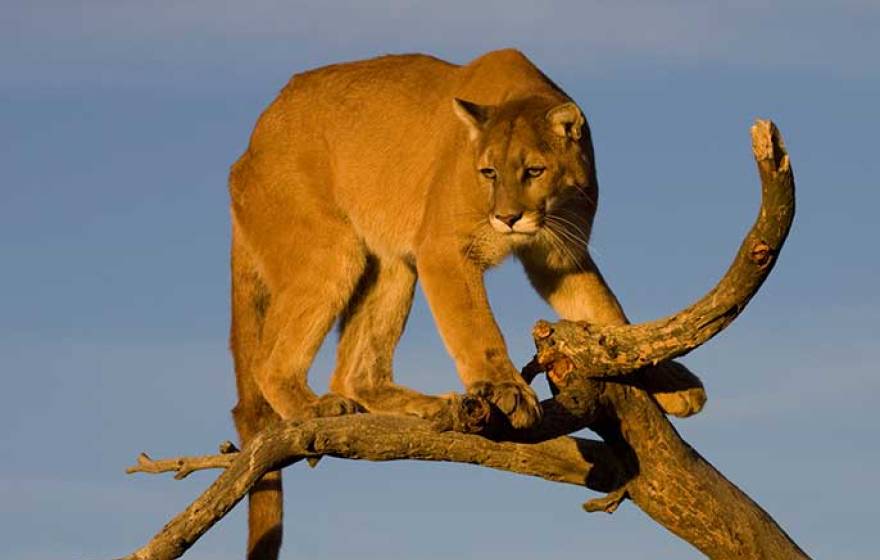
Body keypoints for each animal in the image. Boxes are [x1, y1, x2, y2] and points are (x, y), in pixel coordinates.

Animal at [228, 49, 706, 560]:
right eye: (488, 172)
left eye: (534, 170)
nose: (508, 216)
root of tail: (249, 146)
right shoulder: (443, 250)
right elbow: (476, 326)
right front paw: (505, 389)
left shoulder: (562, 256)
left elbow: (608, 314)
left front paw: (671, 383)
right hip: (333, 252)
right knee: (269, 361)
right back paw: (315, 407)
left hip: (392, 263)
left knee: (355, 372)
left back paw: (426, 406)